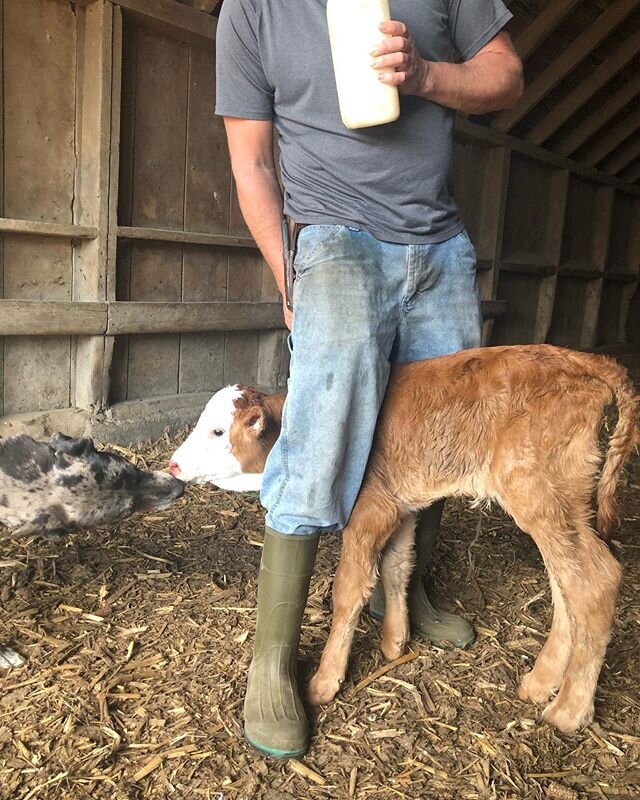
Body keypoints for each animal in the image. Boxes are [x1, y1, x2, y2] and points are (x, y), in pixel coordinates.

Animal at [171, 342, 640, 732]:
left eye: (217, 431)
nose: (173, 464)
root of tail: (585, 360)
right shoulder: (399, 507)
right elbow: (397, 565)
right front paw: (395, 641)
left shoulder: (369, 509)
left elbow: (349, 590)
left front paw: (326, 680)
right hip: (562, 500)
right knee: (567, 585)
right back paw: (540, 683)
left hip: (537, 490)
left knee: (596, 579)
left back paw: (570, 709)